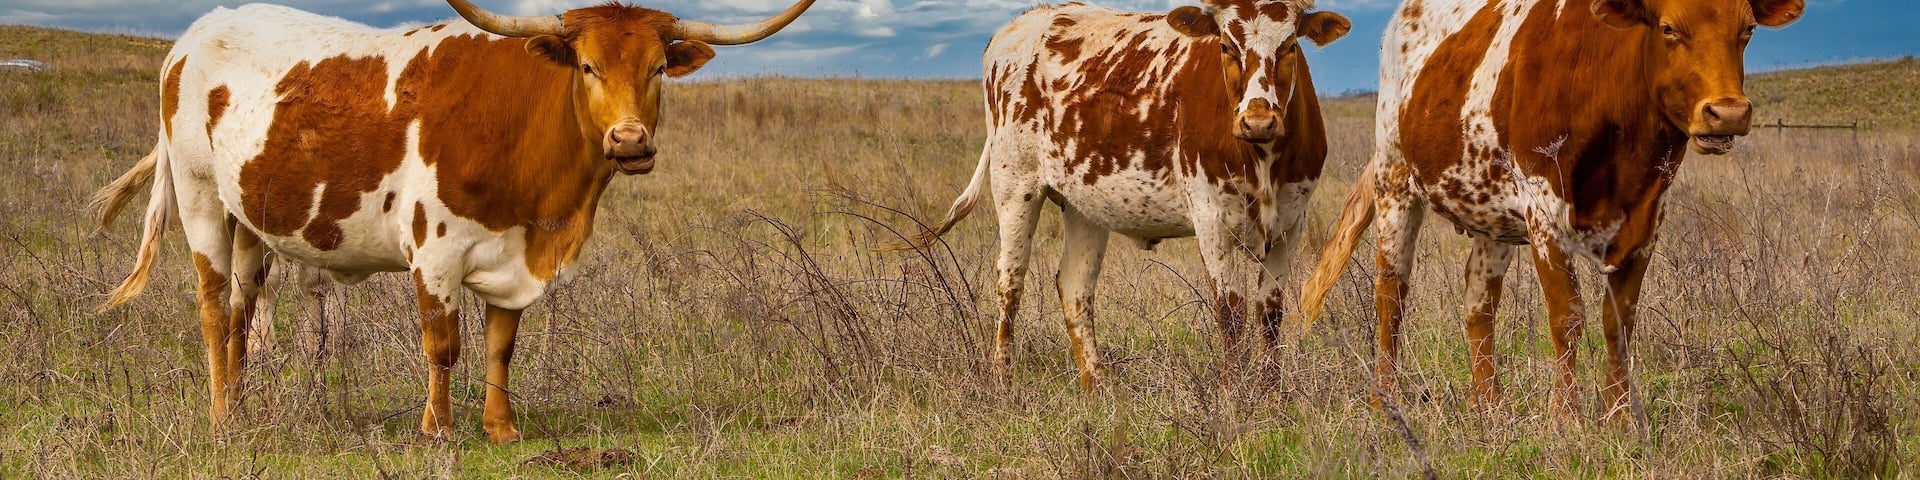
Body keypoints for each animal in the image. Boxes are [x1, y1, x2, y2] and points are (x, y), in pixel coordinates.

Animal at [90, 0, 814, 443]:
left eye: (659, 67)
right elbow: (443, 344)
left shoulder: (515, 256)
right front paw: (437, 429)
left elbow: (500, 345)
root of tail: (193, 36)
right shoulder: (434, 251)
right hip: (201, 199)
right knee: (214, 309)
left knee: (243, 310)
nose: (630, 141)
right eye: (587, 65)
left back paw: (241, 408)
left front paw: (501, 428)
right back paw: (221, 419)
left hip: (251, 221)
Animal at [880, 0, 1351, 390]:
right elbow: (1230, 314)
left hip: (1084, 203)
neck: (1262, 156)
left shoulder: (1292, 223)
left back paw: (1098, 388)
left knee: (1074, 286)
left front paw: (1271, 397)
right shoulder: (1212, 219)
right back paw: (1003, 380)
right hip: (1015, 184)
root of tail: (1022, 22)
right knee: (1009, 281)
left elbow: (1270, 313)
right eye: (1224, 45)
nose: (1258, 121)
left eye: (1290, 45)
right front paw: (1235, 398)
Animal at [1298, 0, 1804, 420]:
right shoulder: (1544, 211)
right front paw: (1565, 418)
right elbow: (1568, 317)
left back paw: (1490, 407)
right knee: (1392, 295)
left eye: (1747, 29)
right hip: (1396, 180)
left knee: (1479, 302)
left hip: (1491, 214)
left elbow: (1618, 322)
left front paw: (1619, 420)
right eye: (1667, 28)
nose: (1728, 112)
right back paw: (1385, 402)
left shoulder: (1647, 219)